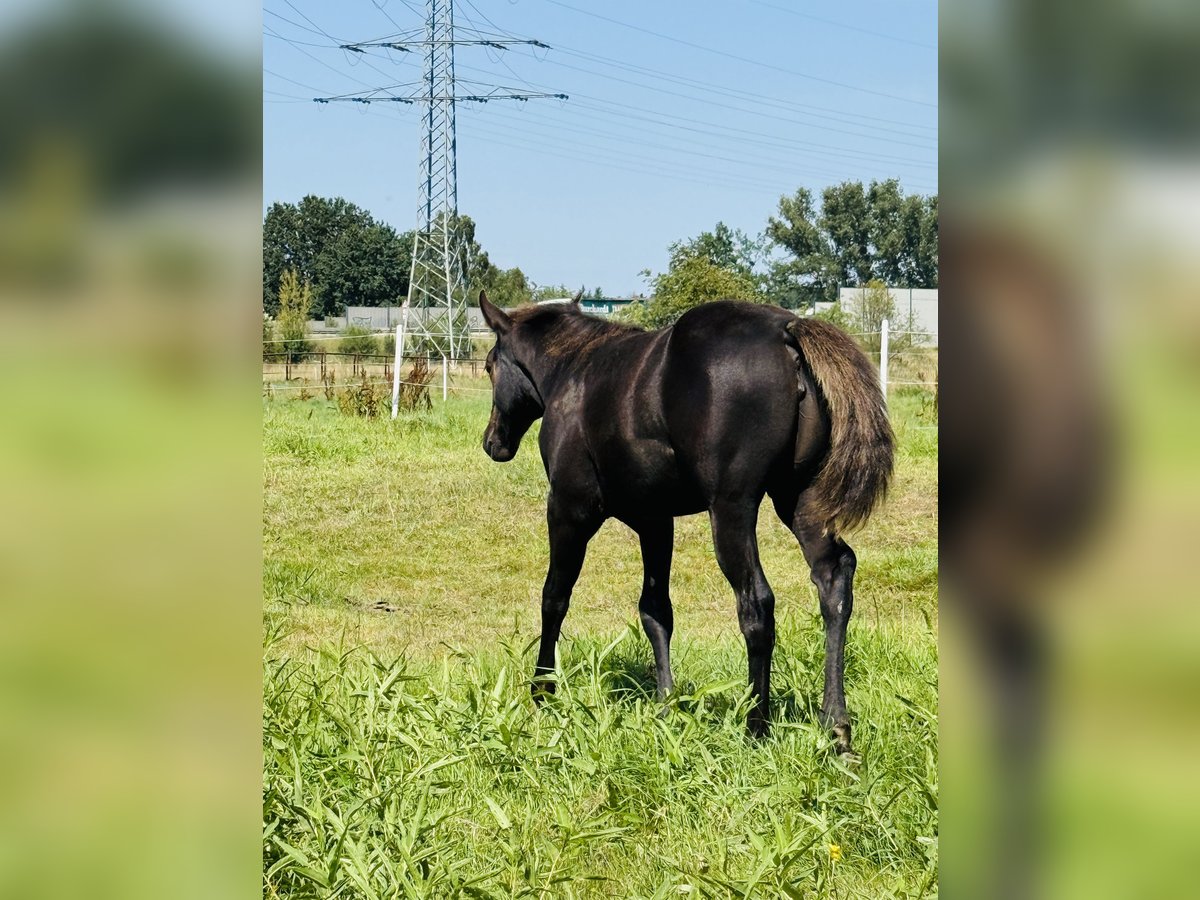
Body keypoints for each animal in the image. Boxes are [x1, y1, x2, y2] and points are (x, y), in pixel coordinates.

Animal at [478, 291, 893, 756]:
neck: (575, 372)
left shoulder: (569, 510)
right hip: (799, 504)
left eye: (490, 365)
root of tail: (787, 331)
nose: (494, 442)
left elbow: (554, 597)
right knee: (834, 580)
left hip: (731, 509)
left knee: (756, 603)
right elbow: (655, 610)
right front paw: (666, 705)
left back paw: (756, 726)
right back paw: (837, 729)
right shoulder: (654, 521)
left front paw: (542, 691)